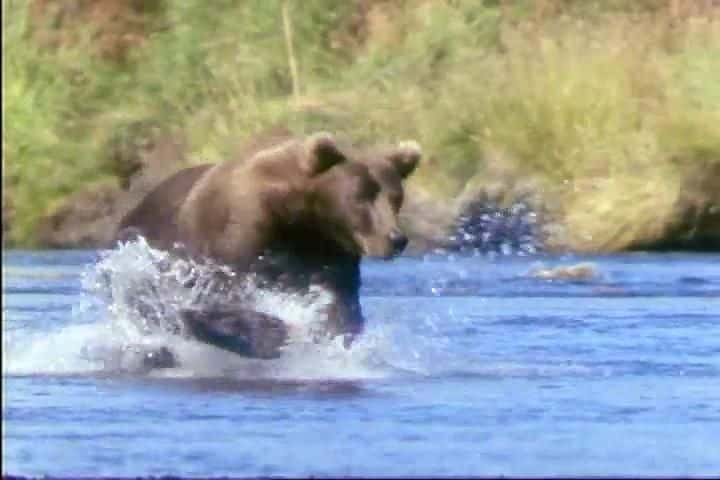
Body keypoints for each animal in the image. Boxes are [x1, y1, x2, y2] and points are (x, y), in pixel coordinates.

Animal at [114, 131, 420, 360]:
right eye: (360, 197)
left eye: (396, 197)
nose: (396, 239)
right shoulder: (232, 236)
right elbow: (209, 297)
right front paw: (271, 333)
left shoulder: (328, 251)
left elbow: (339, 304)